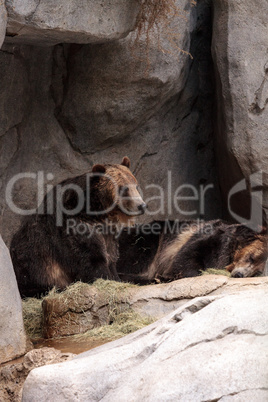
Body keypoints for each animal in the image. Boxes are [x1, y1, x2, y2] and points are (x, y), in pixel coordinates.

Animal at [116, 220, 268, 282]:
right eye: (251, 257)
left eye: (258, 272)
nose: (239, 274)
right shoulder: (208, 240)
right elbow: (187, 257)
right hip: (148, 240)